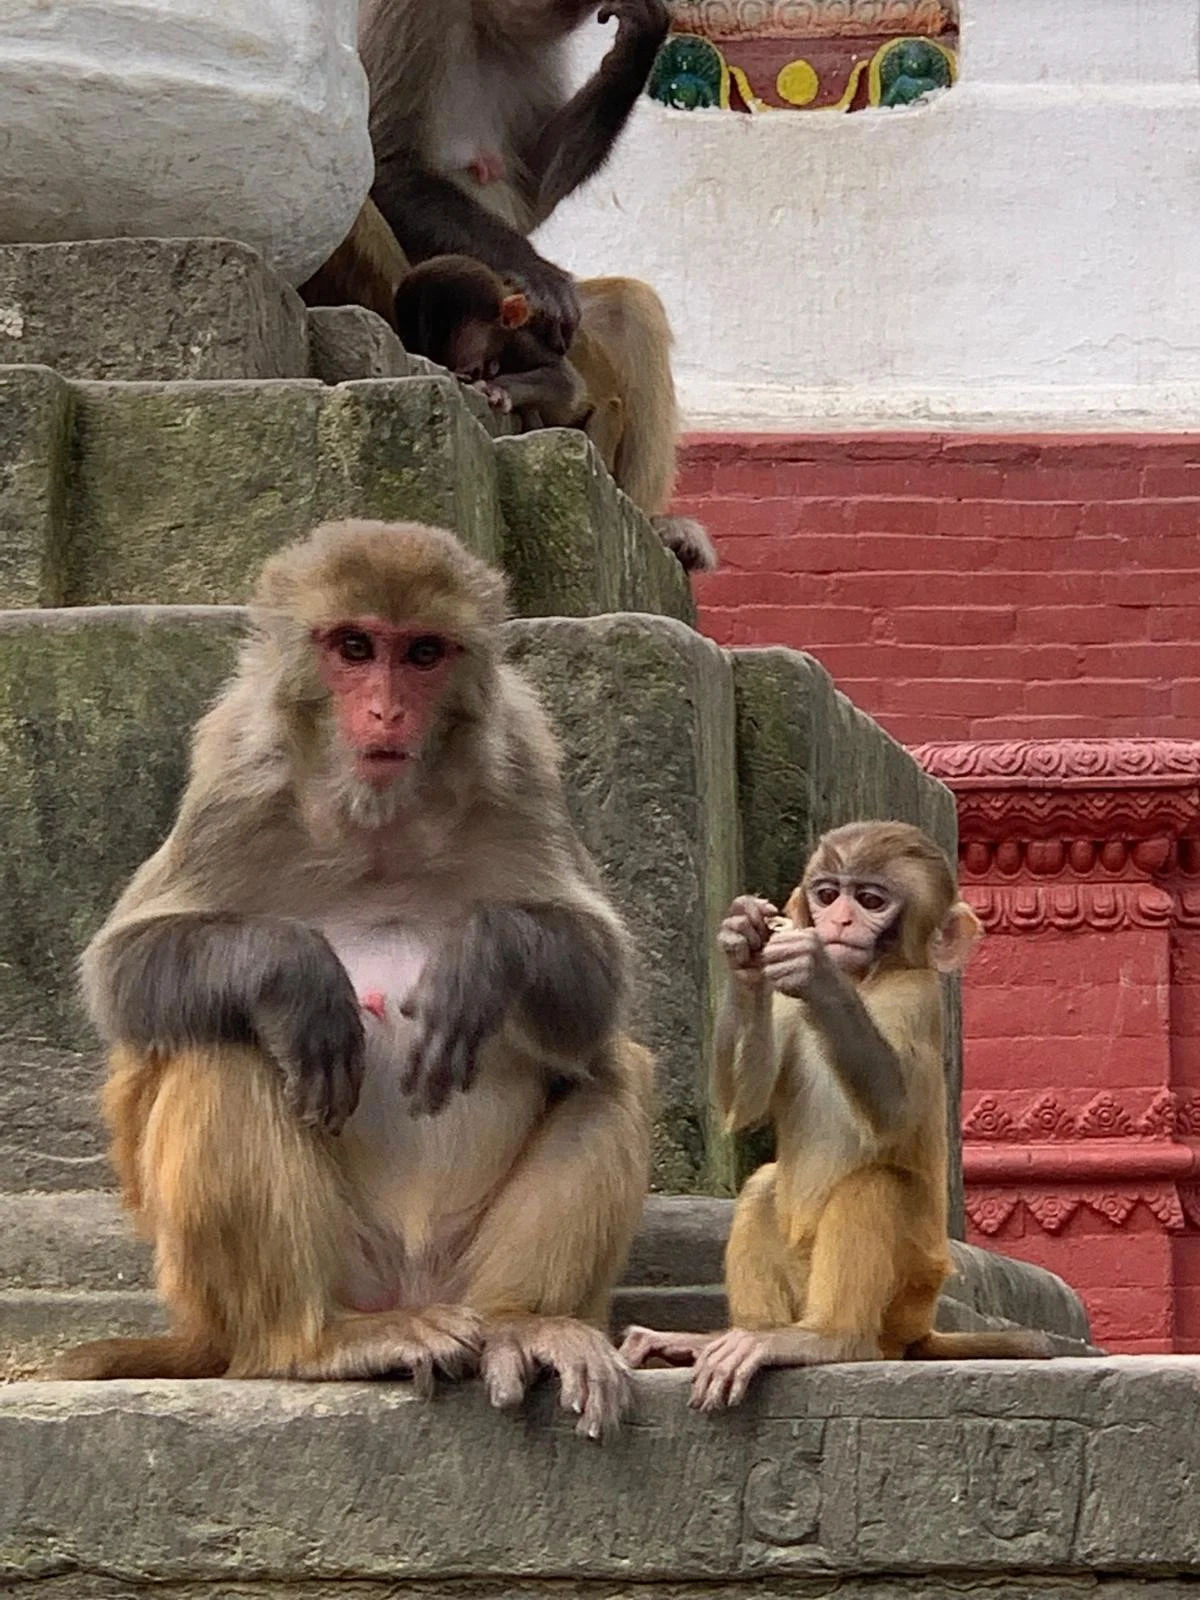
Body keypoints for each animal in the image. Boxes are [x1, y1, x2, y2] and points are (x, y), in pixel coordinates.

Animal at [52, 519, 655, 1442]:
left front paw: (486, 956)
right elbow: (125, 971)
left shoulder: (520, 759)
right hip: (272, 1285)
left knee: (604, 1069)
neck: (379, 826)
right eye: (355, 647)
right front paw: (295, 977)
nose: (385, 710)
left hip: (458, 1268)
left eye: (424, 653)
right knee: (218, 1049)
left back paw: (525, 1324)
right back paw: (315, 1342)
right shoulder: (236, 765)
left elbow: (597, 978)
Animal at [621, 822, 1054, 1410]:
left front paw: (818, 973)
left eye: (870, 900)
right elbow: (745, 1106)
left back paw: (828, 1339)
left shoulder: (916, 996)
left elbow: (893, 1116)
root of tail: (919, 1331)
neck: (866, 980)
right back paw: (732, 1337)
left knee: (876, 1184)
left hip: (908, 1296)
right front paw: (742, 941)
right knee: (763, 1187)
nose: (839, 921)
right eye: (828, 893)